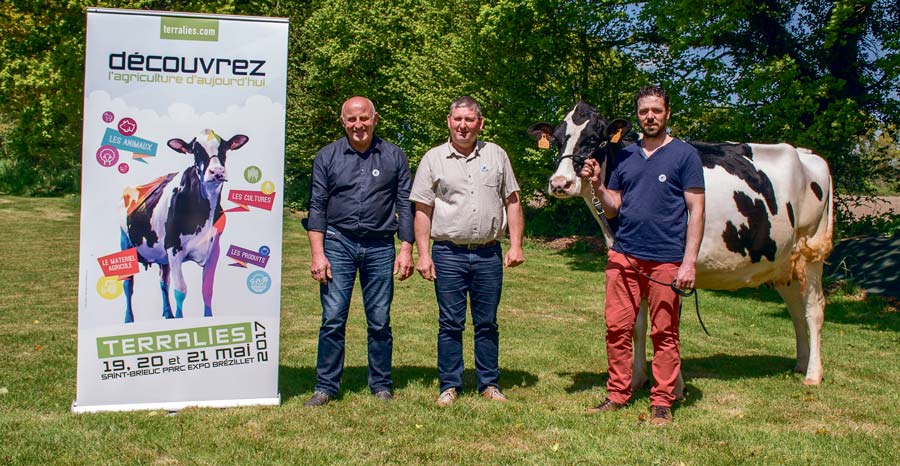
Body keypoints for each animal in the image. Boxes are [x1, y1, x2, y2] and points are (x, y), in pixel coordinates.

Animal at [120, 128, 250, 324]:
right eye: (196, 150)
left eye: (225, 147)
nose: (217, 171)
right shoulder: (173, 248)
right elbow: (180, 290)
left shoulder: (214, 248)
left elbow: (207, 290)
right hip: (125, 243)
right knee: (128, 283)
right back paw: (129, 319)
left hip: (162, 255)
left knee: (163, 282)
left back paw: (168, 314)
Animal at [532, 103, 832, 394]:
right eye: (557, 140)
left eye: (594, 138)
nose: (559, 183)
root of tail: (808, 155)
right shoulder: (633, 264)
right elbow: (639, 326)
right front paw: (638, 379)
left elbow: (668, 326)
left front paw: (675, 387)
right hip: (783, 261)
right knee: (796, 309)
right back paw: (800, 363)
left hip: (812, 248)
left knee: (814, 309)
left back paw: (813, 375)